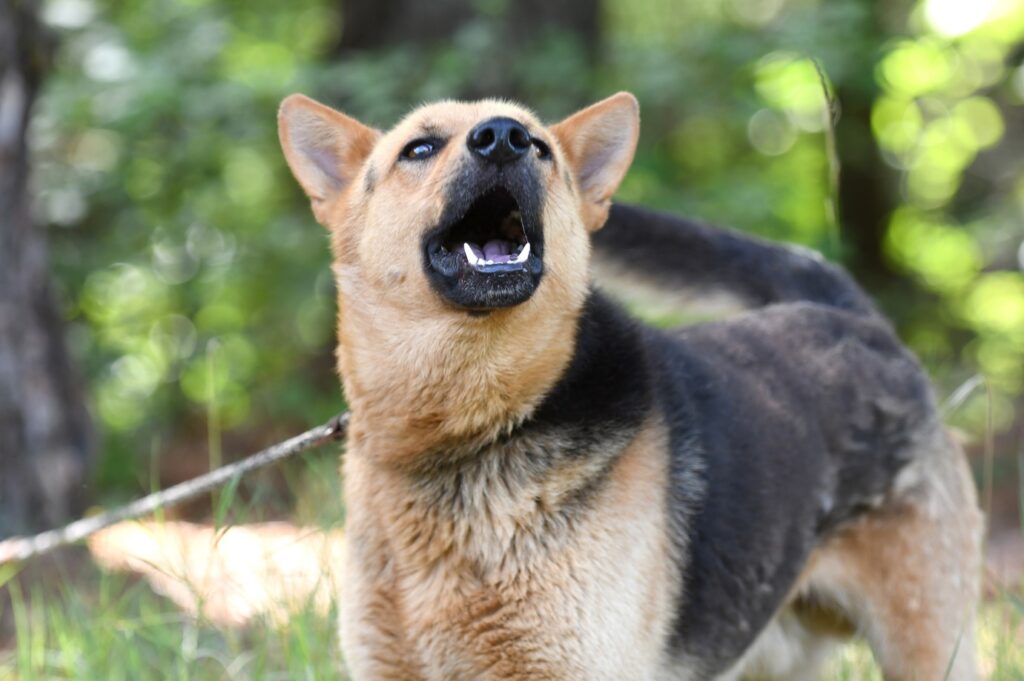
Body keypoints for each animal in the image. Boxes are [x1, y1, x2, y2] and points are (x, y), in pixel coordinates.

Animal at [276, 91, 978, 679]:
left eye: (540, 147)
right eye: (419, 149)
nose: (503, 138)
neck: (467, 434)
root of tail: (855, 320)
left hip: (927, 646)